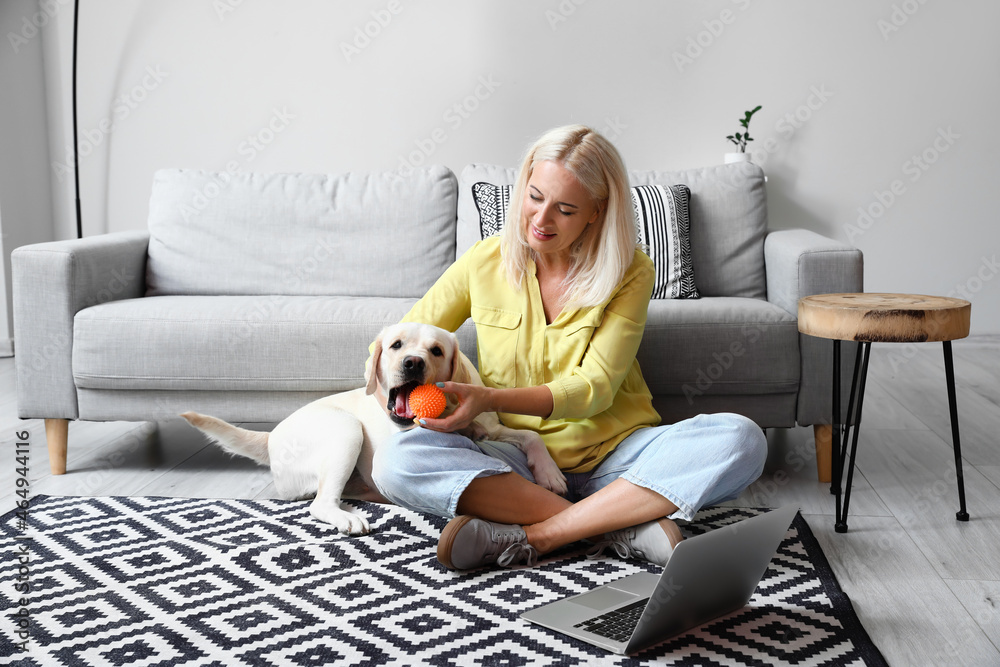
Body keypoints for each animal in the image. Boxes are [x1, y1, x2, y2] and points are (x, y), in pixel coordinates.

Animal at [181, 320, 568, 536]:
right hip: (345, 430)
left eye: (436, 351)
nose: (412, 363)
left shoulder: (492, 425)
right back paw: (348, 519)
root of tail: (272, 435)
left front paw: (549, 473)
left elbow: (530, 435)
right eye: (396, 345)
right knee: (320, 503)